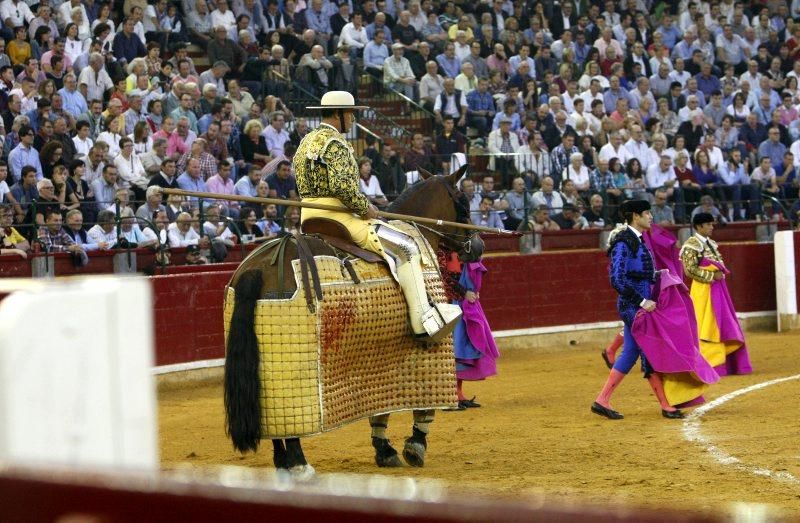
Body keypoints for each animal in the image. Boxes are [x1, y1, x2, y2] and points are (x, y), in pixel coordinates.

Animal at [222, 167, 482, 474]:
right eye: (463, 203)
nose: (479, 246)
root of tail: (258, 268)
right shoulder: (428, 351)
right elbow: (424, 405)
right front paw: (415, 445)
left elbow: (381, 408)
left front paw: (385, 450)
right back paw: (299, 463)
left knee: (273, 417)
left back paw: (284, 463)